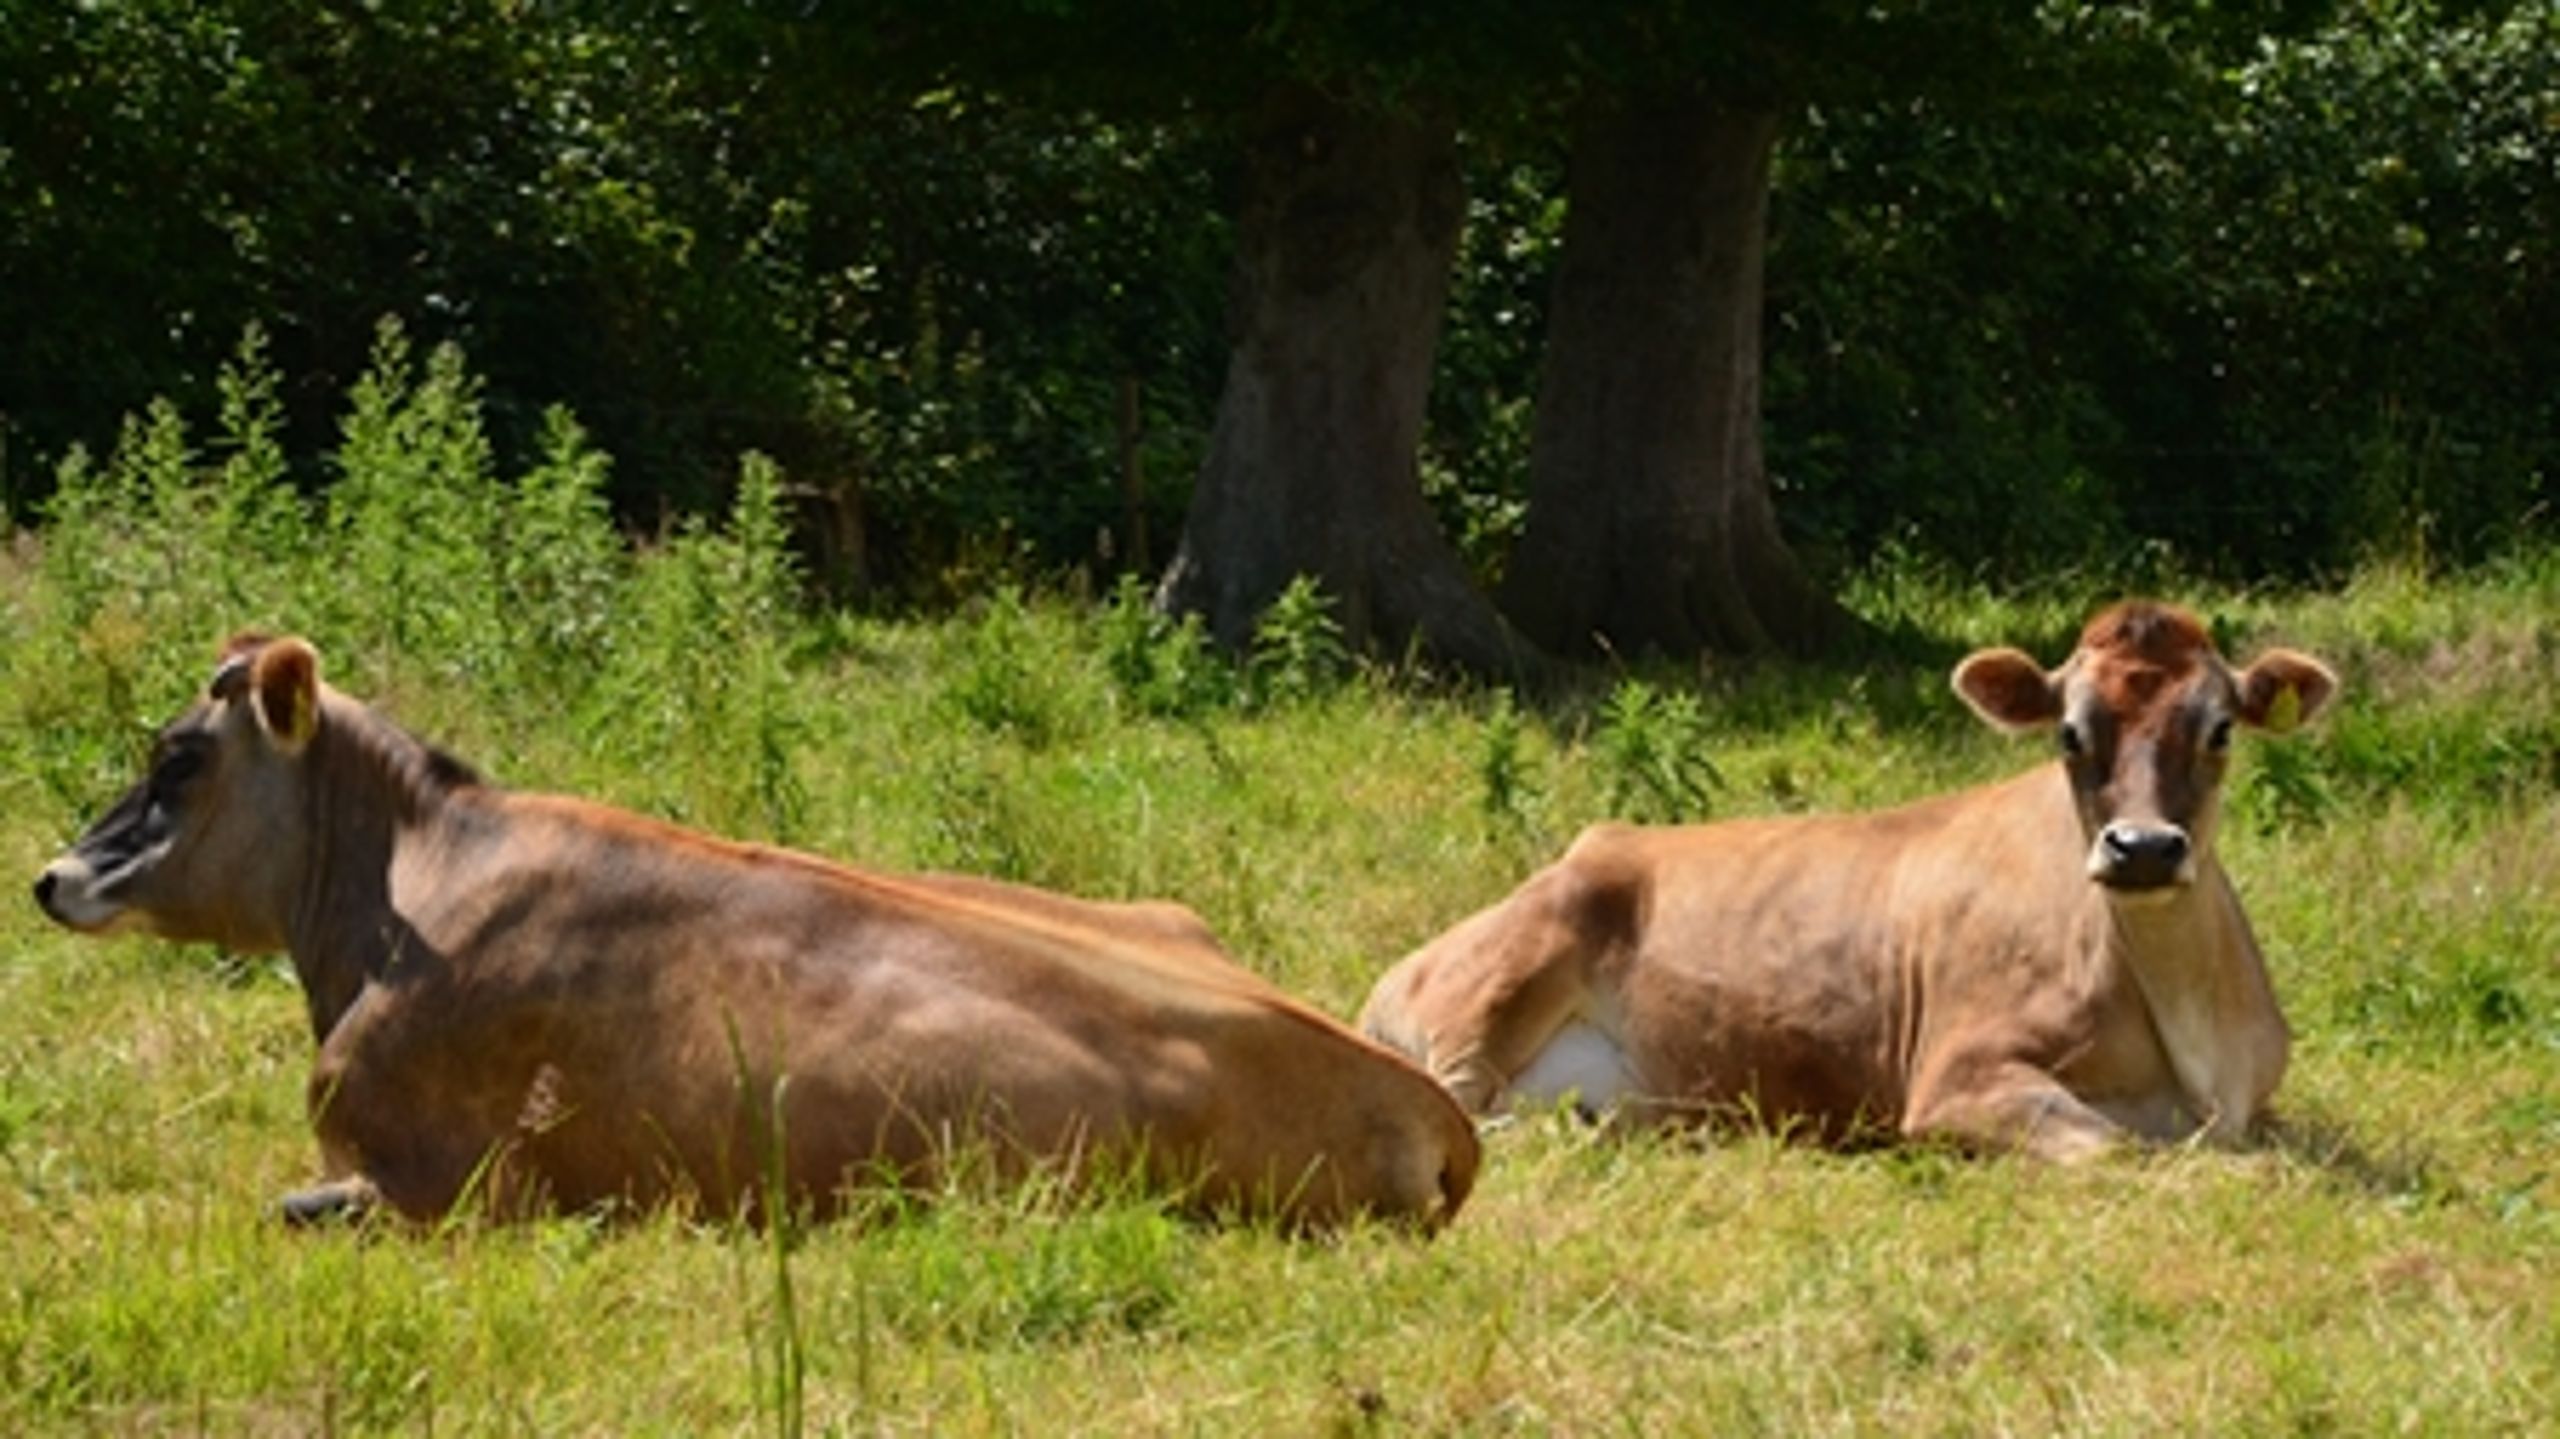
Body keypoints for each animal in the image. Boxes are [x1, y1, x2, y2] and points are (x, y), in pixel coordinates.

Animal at [1361, 599, 2344, 1157]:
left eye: (2220, 727)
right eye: (2069, 732)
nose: (2142, 847)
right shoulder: (1957, 1074)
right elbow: (2121, 1150)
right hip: (1496, 987)